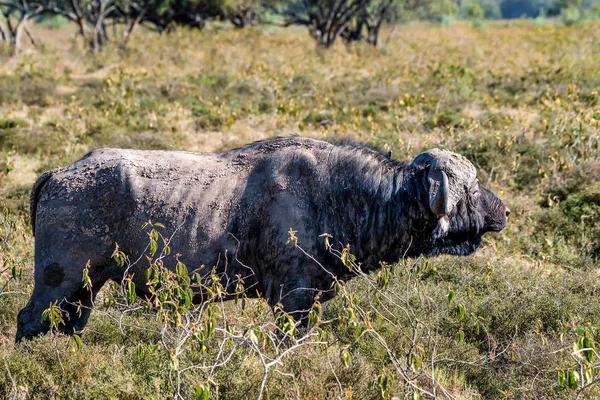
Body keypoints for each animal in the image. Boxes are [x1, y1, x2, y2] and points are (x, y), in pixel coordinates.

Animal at [16, 138, 508, 340]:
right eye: (470, 187)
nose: (504, 211)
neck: (338, 194)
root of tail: (61, 173)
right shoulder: (293, 301)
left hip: (83, 293)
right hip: (58, 285)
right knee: (27, 322)